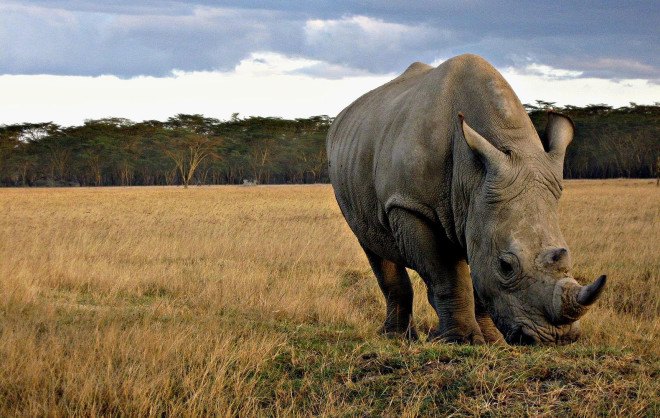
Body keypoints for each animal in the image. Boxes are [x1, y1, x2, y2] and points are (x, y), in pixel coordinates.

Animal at [326, 54, 606, 345]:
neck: (472, 178)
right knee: (373, 245)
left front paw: (492, 341)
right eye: (506, 266)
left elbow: (479, 279)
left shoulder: (482, 204)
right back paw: (397, 337)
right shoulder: (411, 205)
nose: (555, 337)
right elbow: (447, 275)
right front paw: (463, 340)